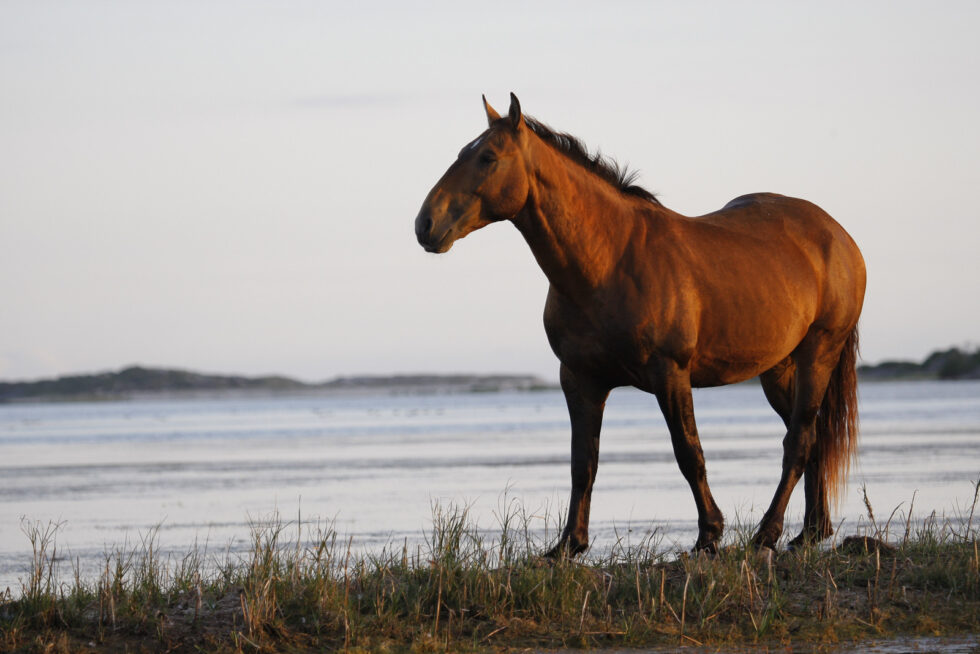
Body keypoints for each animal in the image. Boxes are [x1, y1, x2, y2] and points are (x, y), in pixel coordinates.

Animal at [414, 93, 866, 555]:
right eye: (462, 153)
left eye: (487, 157)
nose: (425, 224)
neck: (609, 259)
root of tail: (838, 235)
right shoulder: (580, 379)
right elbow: (583, 463)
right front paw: (568, 545)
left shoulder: (669, 373)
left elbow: (688, 452)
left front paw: (708, 536)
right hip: (778, 367)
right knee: (811, 438)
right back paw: (810, 531)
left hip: (818, 353)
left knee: (798, 440)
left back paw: (767, 534)